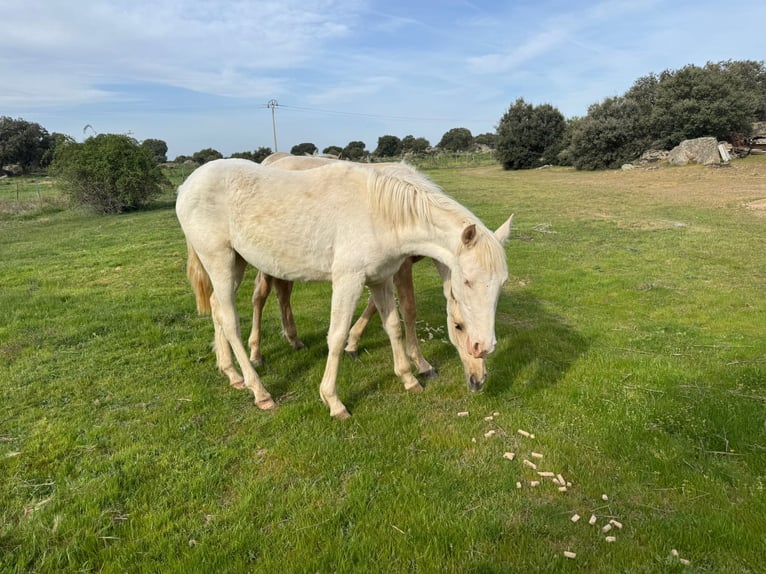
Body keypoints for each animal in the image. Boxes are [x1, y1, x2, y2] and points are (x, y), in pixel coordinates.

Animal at [176, 158, 512, 419]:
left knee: (218, 309)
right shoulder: (348, 280)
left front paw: (408, 378)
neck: (383, 215)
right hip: (220, 261)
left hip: (236, 262)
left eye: (501, 283)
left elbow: (394, 326)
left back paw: (231, 374)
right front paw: (333, 401)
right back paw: (260, 391)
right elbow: (336, 337)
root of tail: (186, 186)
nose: (479, 375)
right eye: (458, 325)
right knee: (231, 319)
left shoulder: (380, 279)